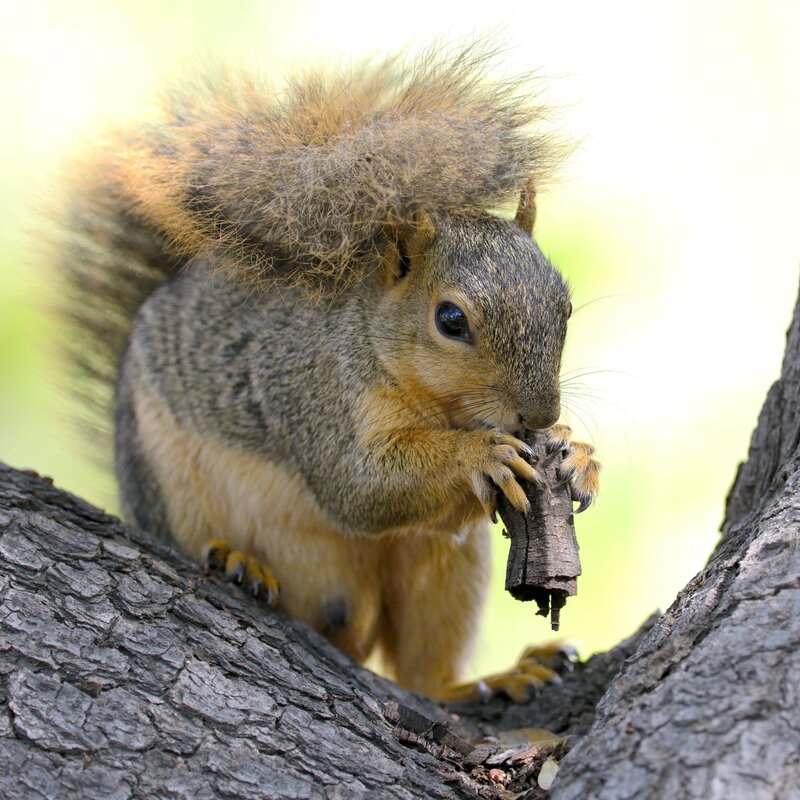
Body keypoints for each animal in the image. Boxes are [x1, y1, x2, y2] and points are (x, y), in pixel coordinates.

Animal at [59, 45, 600, 702]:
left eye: (564, 304)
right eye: (450, 319)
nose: (541, 414)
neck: (439, 407)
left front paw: (580, 455)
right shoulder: (317, 394)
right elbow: (358, 486)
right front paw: (481, 455)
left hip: (445, 568)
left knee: (425, 672)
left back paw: (487, 680)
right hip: (167, 482)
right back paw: (240, 561)